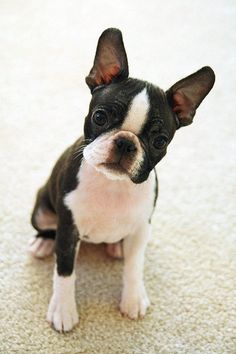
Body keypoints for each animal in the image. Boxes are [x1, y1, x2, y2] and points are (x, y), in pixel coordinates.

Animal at [28, 27, 215, 332]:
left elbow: (134, 267)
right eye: (100, 117)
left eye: (160, 141)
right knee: (46, 227)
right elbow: (65, 272)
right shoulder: (68, 228)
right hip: (43, 210)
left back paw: (116, 246)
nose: (126, 143)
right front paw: (63, 310)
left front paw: (133, 298)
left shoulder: (141, 229)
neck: (112, 185)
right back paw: (43, 243)